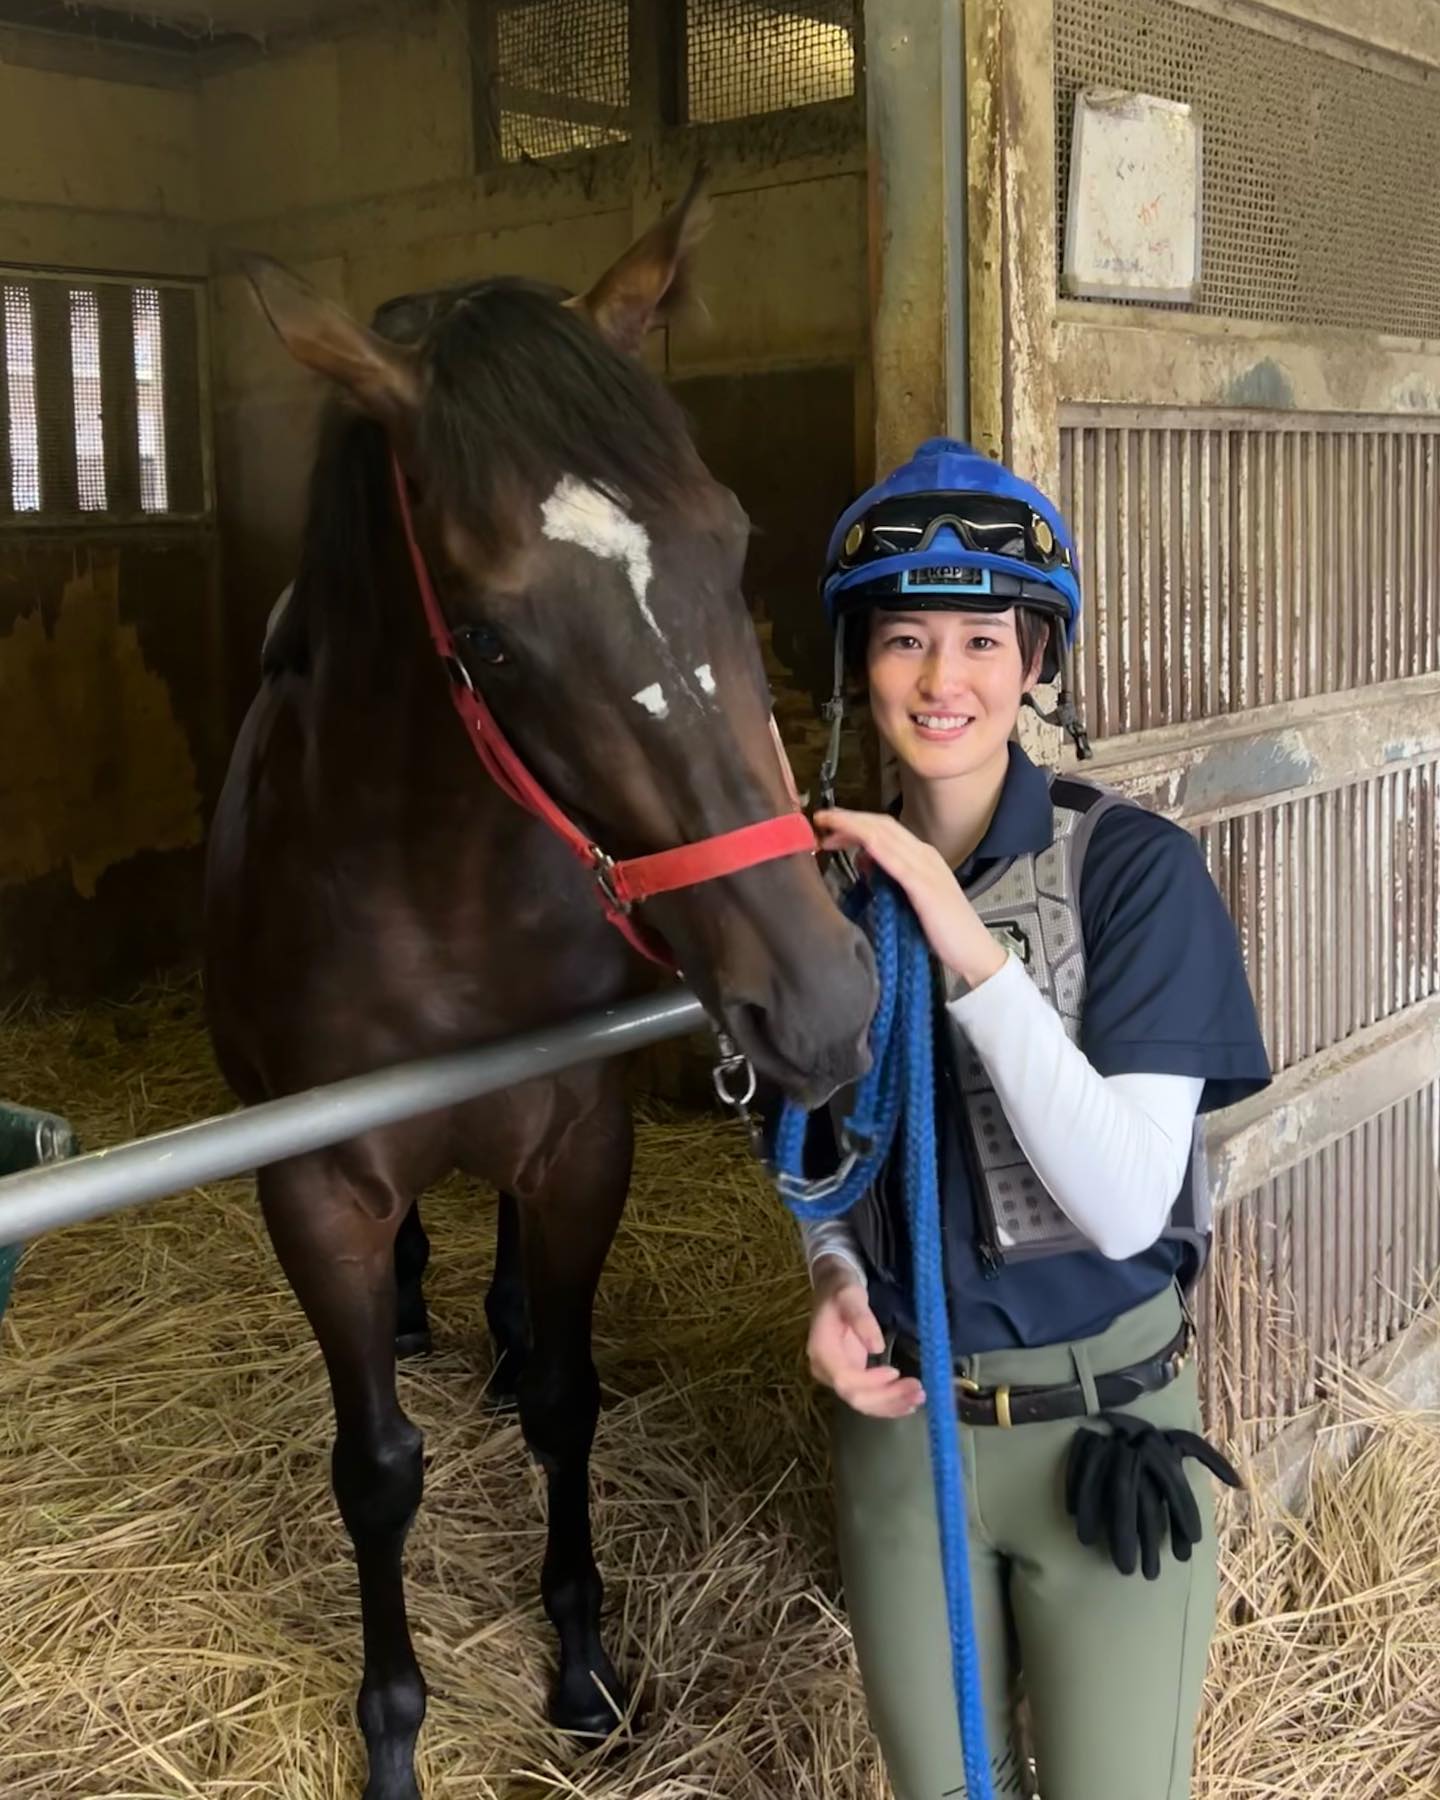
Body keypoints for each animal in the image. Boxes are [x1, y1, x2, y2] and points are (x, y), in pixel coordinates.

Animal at [199, 186, 878, 1800]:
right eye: (494, 637)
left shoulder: (579, 1140)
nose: (825, 1005)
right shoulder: (314, 1191)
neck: (438, 896)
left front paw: (582, 1666)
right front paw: (395, 1732)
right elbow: (375, 1470)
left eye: (732, 540)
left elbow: (573, 1398)